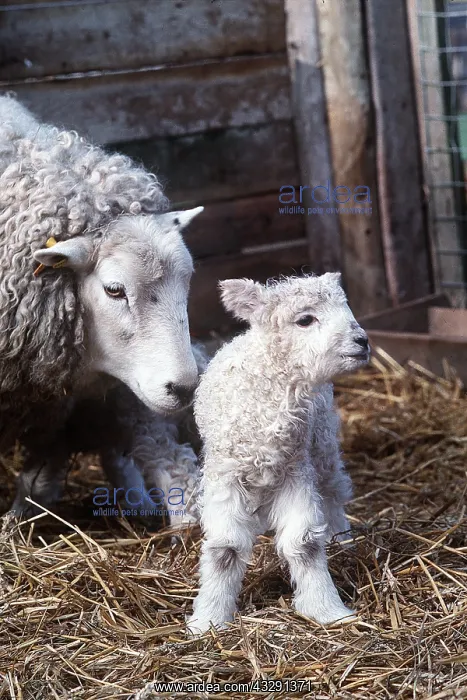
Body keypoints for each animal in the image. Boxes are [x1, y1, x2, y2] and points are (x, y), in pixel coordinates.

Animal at [187, 273, 370, 634]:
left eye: (345, 307)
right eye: (305, 319)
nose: (362, 341)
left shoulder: (295, 472)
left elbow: (304, 543)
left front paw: (327, 610)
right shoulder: (225, 477)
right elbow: (225, 549)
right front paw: (209, 620)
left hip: (322, 444)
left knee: (333, 492)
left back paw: (343, 541)